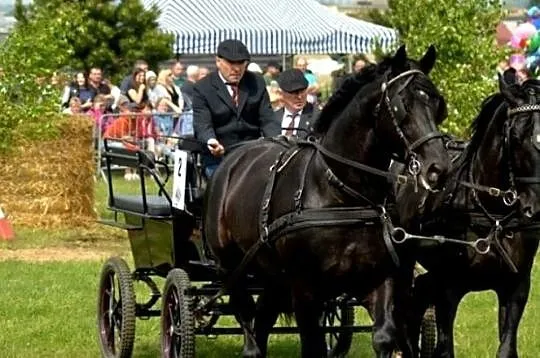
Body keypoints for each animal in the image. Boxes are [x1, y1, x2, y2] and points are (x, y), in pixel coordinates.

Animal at [202, 44, 452, 358]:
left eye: (438, 104)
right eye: (402, 105)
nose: (438, 168)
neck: (342, 194)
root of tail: (232, 159)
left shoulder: (379, 278)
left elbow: (384, 336)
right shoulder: (305, 290)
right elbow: (314, 346)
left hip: (272, 277)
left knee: (263, 320)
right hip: (232, 269)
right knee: (248, 324)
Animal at [394, 70, 540, 358]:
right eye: (517, 136)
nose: (537, 205)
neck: (493, 215)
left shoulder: (517, 285)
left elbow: (507, 346)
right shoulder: (448, 288)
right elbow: (444, 348)